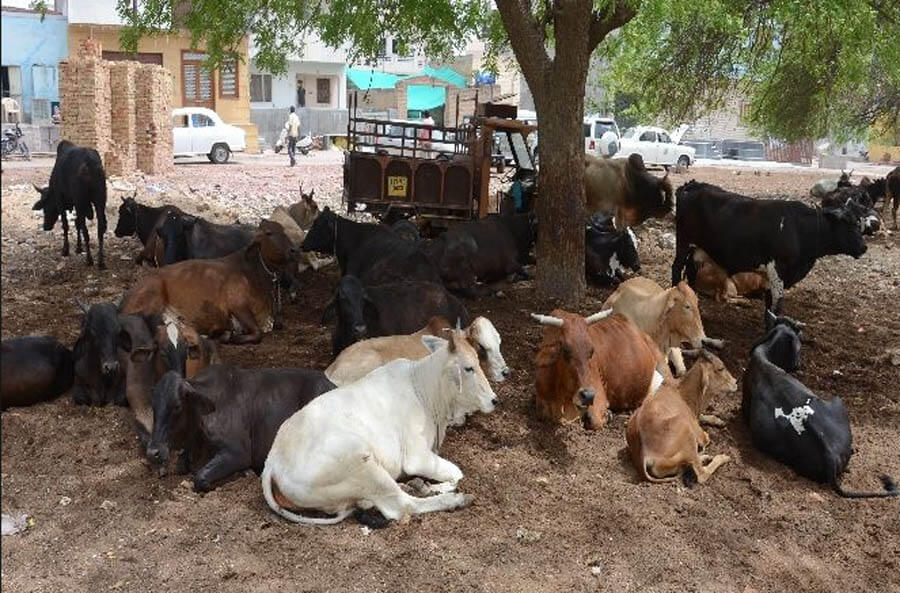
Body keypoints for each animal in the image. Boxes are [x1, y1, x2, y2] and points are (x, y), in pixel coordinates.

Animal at [33, 139, 109, 268]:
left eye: (45, 207)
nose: (46, 226)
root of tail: (89, 164)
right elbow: (77, 224)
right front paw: (78, 248)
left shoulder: (61, 201)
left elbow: (65, 225)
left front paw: (66, 249)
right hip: (100, 201)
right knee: (100, 228)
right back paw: (101, 261)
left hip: (81, 202)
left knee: (86, 230)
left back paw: (89, 259)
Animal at [624, 350, 740, 484]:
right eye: (720, 368)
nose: (736, 382)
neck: (682, 393)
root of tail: (645, 454)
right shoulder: (698, 432)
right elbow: (706, 438)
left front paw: (719, 421)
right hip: (687, 431)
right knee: (701, 474)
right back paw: (721, 457)